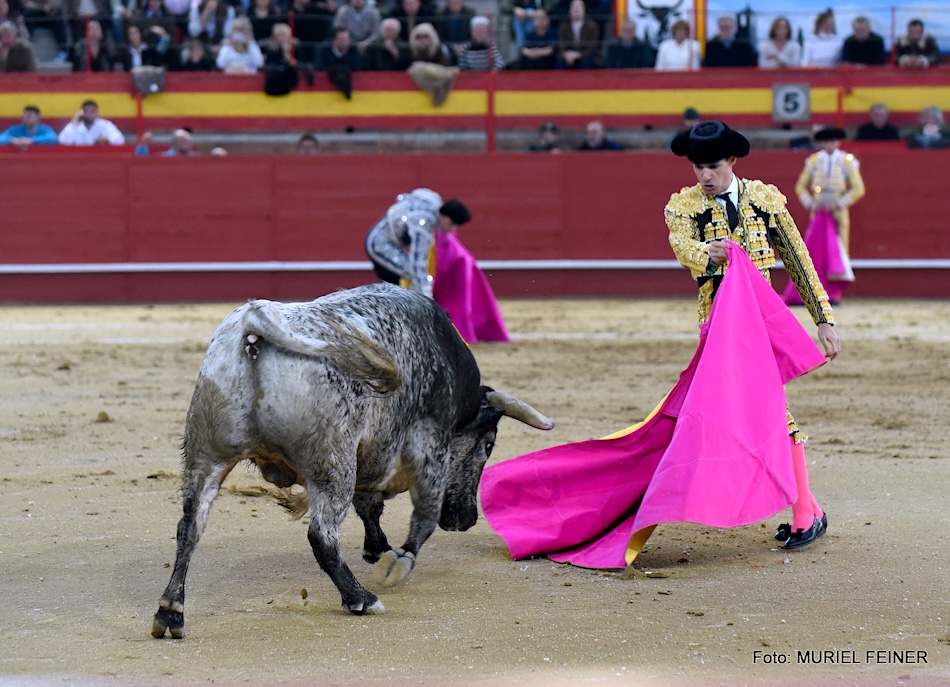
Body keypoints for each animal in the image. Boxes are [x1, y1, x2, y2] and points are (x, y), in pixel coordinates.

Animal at [151, 283, 553, 638]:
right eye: (488, 445)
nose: (467, 519)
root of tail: (256, 326)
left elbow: (370, 506)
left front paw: (377, 549)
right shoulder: (429, 443)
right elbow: (422, 515)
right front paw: (397, 562)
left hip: (206, 455)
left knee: (189, 527)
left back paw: (170, 612)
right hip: (332, 462)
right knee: (322, 535)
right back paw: (361, 598)